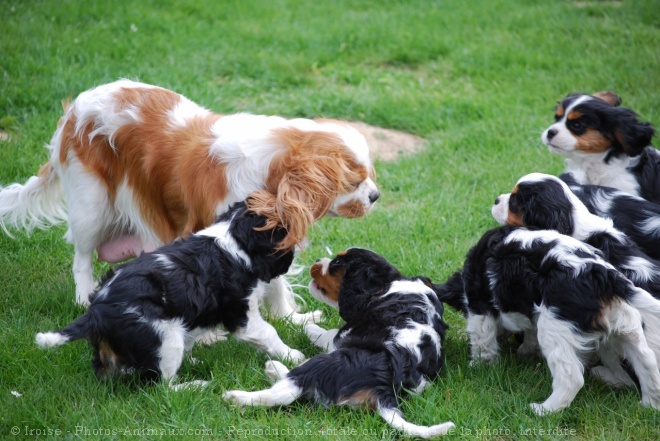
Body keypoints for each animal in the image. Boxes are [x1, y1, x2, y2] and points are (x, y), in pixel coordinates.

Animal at [0, 79, 378, 312]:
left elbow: (277, 285)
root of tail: (74, 108)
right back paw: (83, 296)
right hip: (92, 206)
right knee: (81, 256)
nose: (375, 196)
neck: (270, 170)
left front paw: (288, 318)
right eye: (353, 182)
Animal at [224, 249, 456, 438]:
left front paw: (310, 328)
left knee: (287, 390)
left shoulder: (343, 335)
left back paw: (242, 392)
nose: (317, 260)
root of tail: (383, 388)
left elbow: (327, 334)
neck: (389, 285)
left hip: (326, 363)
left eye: (336, 264)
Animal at [436, 225, 660, 414]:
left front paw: (479, 365)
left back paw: (543, 410)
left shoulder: (479, 306)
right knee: (645, 362)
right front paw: (525, 350)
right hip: (624, 324)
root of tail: (604, 274)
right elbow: (528, 331)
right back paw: (648, 405)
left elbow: (483, 340)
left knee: (571, 378)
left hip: (555, 328)